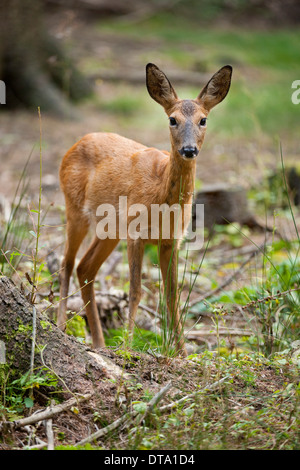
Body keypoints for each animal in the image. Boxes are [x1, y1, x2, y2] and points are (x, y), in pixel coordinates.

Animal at [57, 62, 233, 356]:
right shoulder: (135, 233)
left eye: (203, 120)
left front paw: (182, 353)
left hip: (110, 229)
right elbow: (136, 290)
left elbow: (173, 296)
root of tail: (74, 144)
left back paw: (99, 343)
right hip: (75, 209)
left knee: (85, 268)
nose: (189, 149)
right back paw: (61, 328)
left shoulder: (171, 240)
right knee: (67, 263)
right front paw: (128, 346)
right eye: (172, 119)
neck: (161, 199)